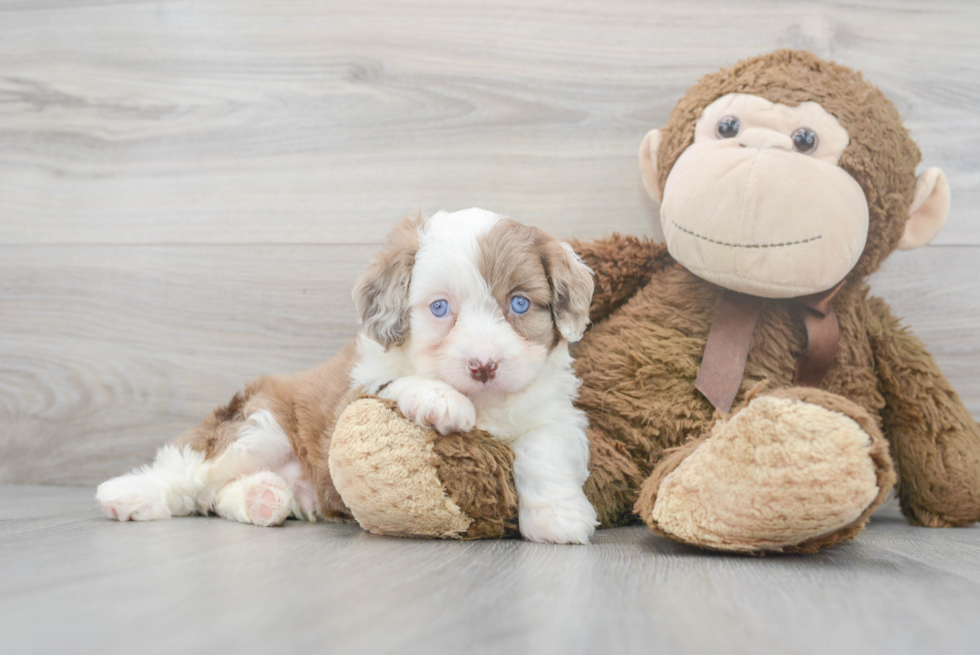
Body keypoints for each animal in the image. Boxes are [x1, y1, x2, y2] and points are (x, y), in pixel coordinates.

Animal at [95, 209, 596, 544]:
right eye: (439, 308)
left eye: (519, 304)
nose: (484, 365)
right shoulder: (354, 395)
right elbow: (397, 382)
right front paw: (441, 399)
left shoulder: (555, 415)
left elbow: (544, 451)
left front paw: (557, 517)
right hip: (259, 426)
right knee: (192, 475)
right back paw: (130, 493)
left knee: (217, 495)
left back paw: (263, 498)